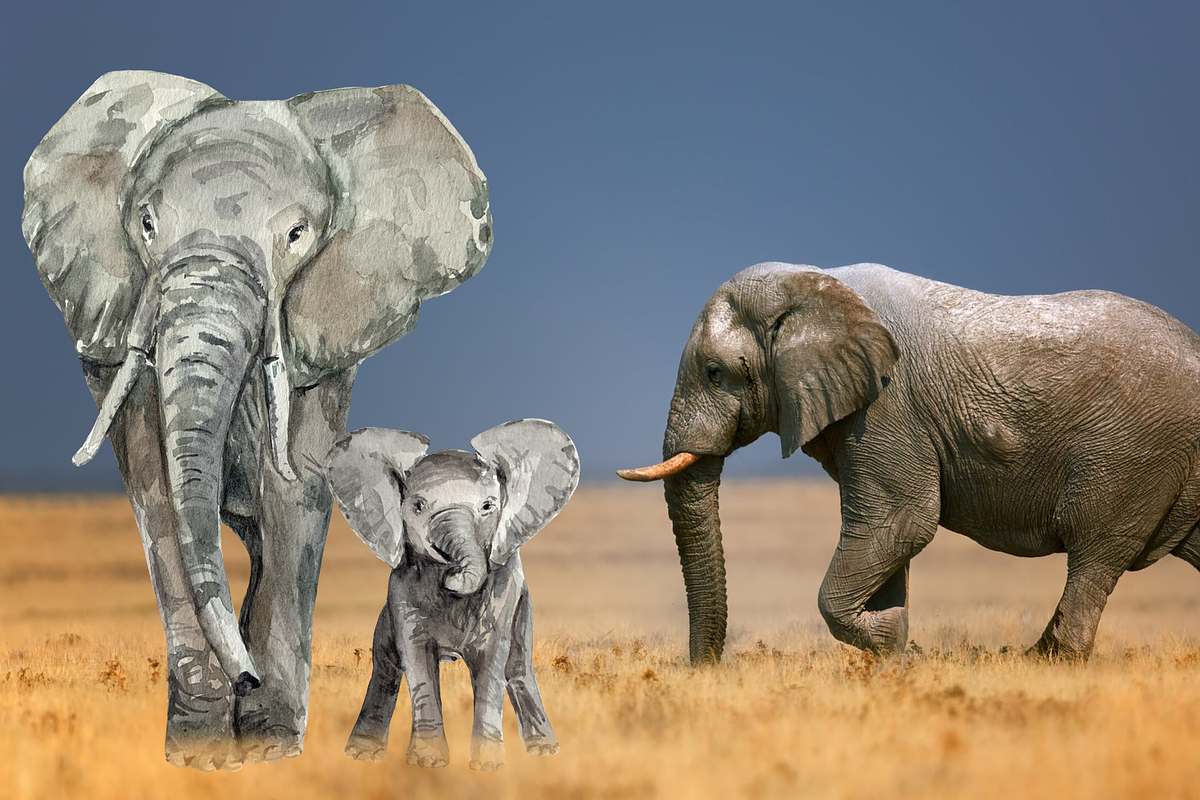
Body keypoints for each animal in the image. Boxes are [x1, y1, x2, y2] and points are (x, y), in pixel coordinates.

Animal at [22, 71, 491, 769]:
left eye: (296, 234)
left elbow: (293, 494)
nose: (245, 678)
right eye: (147, 224)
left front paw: (269, 749)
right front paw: (201, 756)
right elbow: (158, 494)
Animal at [323, 419, 578, 771]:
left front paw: (487, 767)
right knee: (386, 665)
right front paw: (427, 763)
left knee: (517, 664)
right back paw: (361, 754)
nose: (453, 573)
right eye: (417, 506)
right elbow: (416, 656)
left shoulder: (505, 587)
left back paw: (544, 750)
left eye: (488, 506)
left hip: (524, 609)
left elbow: (492, 658)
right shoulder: (400, 589)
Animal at [618, 262, 1200, 665]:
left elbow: (903, 521)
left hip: (1132, 454)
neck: (812, 285)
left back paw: (1050, 661)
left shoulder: (888, 406)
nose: (705, 672)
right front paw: (894, 650)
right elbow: (889, 535)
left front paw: (893, 643)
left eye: (715, 373)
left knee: (1095, 552)